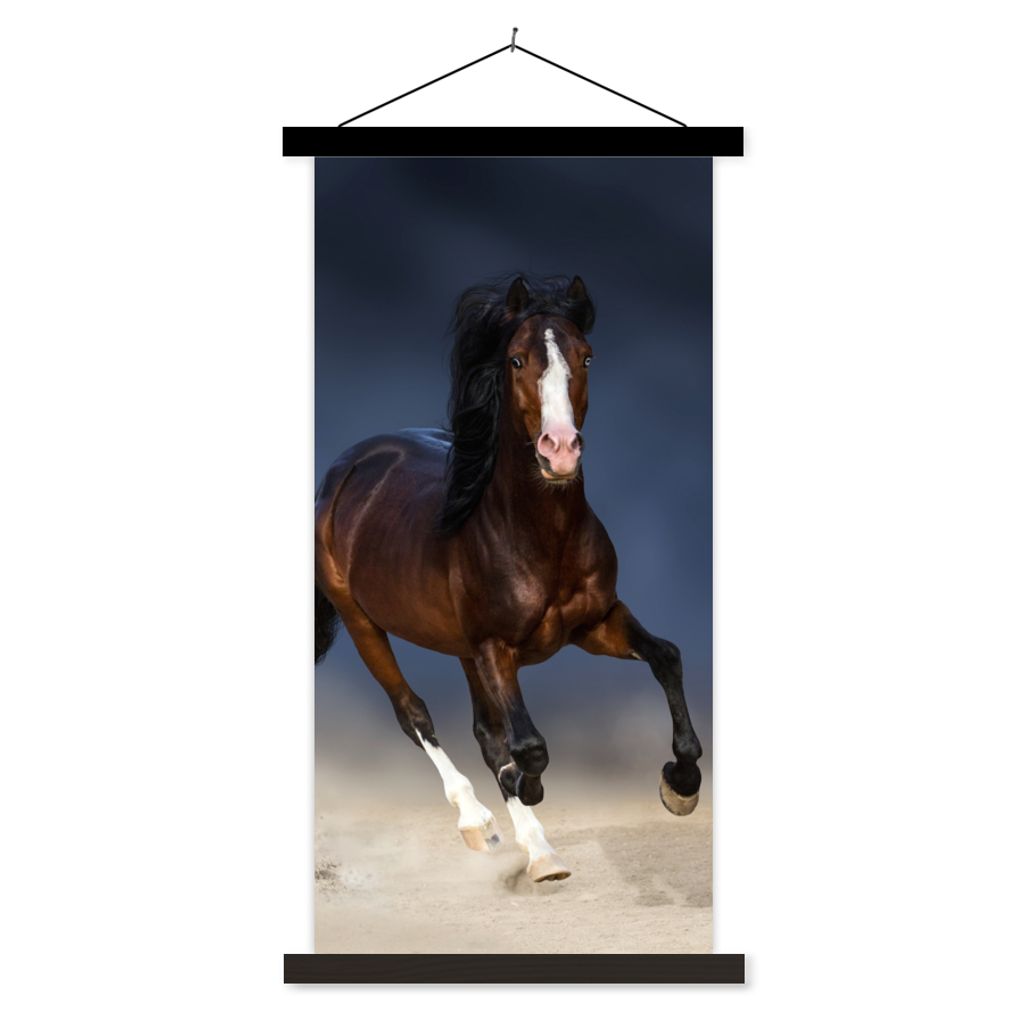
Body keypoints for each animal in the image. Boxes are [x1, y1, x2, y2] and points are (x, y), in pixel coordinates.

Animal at [314, 274, 703, 882]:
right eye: (517, 359)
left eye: (586, 356)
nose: (560, 450)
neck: (539, 536)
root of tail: (345, 469)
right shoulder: (497, 647)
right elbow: (530, 745)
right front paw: (525, 786)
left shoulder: (597, 624)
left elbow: (666, 657)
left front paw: (680, 784)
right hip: (362, 623)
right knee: (415, 714)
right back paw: (481, 823)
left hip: (460, 647)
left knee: (484, 733)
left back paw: (540, 852)